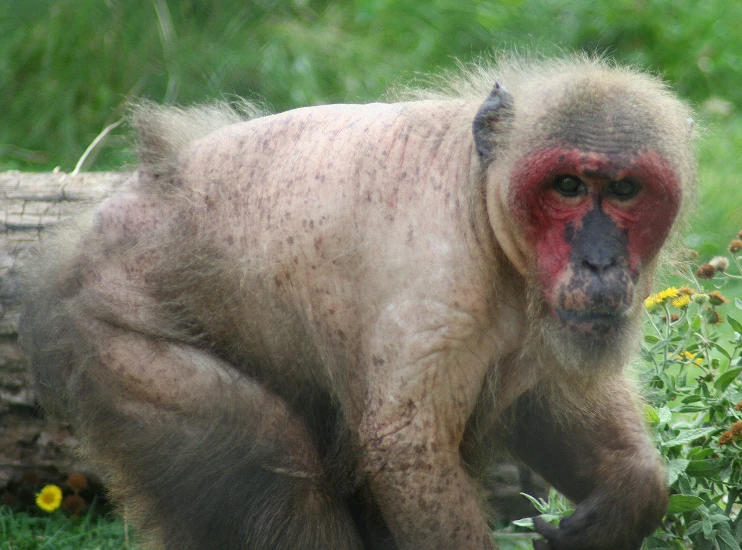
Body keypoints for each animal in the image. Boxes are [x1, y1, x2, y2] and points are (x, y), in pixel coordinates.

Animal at [21, 57, 696, 550]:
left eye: (626, 190)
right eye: (568, 186)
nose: (599, 261)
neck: (483, 208)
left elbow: (540, 401)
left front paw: (630, 493)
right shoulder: (437, 281)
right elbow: (406, 450)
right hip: (119, 340)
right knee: (270, 457)